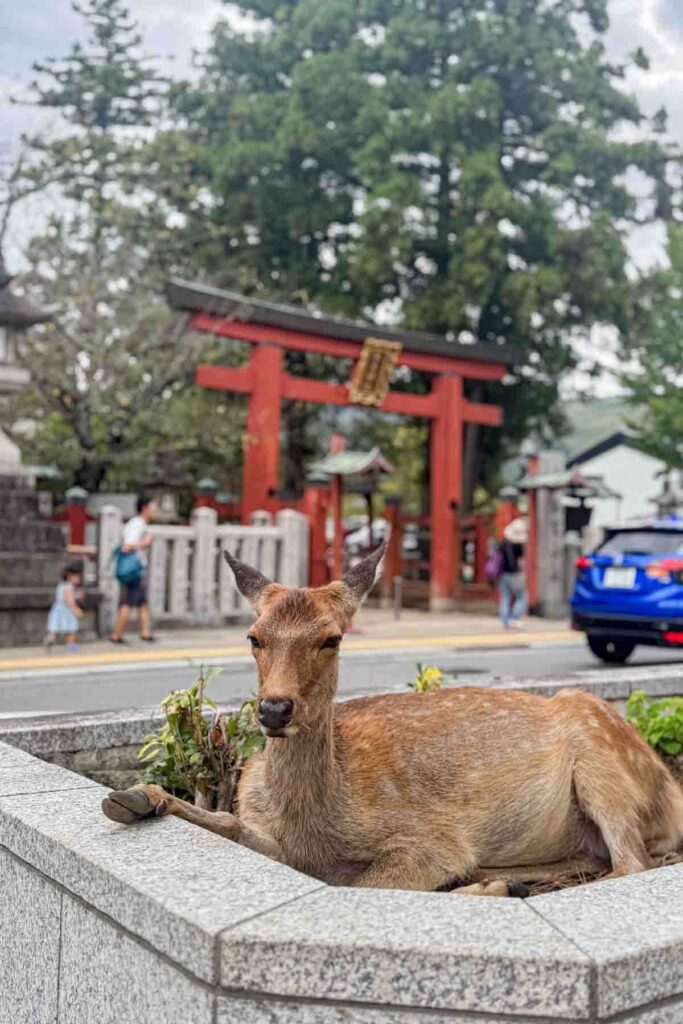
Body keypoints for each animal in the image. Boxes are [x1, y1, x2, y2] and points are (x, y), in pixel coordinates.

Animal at [102, 544, 683, 896]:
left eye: (332, 638)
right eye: (253, 636)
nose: (274, 708)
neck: (319, 825)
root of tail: (672, 790)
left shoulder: (431, 838)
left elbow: (355, 885)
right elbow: (229, 823)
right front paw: (137, 798)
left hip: (602, 760)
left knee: (632, 862)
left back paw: (493, 885)